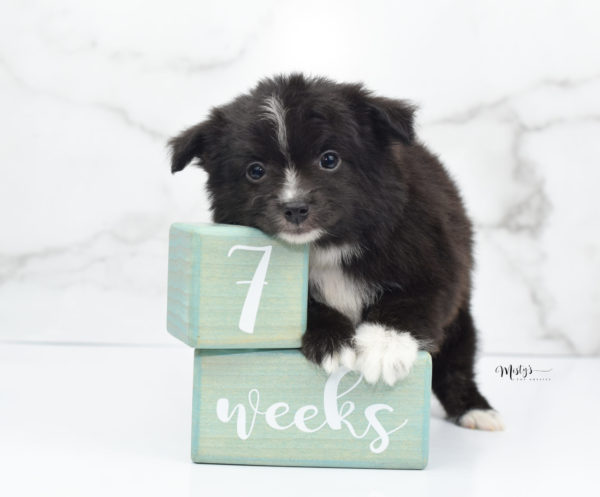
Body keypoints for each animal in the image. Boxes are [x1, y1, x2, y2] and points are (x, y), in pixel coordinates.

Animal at [171, 72, 504, 430]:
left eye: (329, 159)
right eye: (255, 171)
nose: (295, 208)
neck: (330, 245)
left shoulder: (437, 262)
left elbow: (411, 300)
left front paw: (384, 346)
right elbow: (309, 304)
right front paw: (333, 342)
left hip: (460, 320)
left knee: (456, 362)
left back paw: (475, 409)